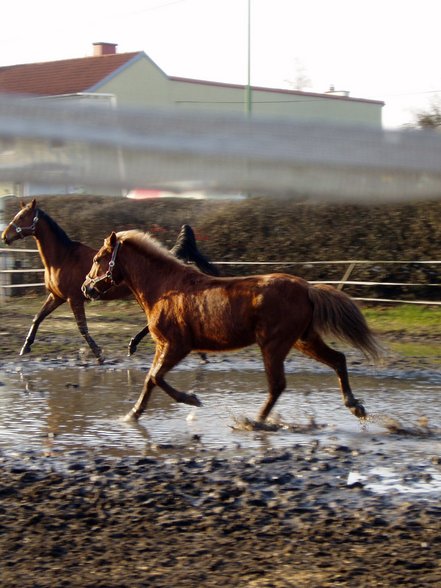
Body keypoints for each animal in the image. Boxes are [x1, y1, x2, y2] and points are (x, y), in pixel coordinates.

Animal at [1, 200, 218, 360]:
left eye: (21, 217)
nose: (4, 236)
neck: (62, 258)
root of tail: (176, 257)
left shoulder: (74, 299)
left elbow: (82, 327)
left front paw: (99, 354)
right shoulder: (56, 296)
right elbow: (38, 318)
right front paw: (25, 347)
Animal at [82, 229, 382, 422]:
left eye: (97, 259)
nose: (86, 288)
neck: (165, 289)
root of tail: (308, 288)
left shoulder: (177, 346)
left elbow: (156, 378)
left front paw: (192, 399)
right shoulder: (162, 346)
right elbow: (150, 379)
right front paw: (132, 415)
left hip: (274, 346)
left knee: (278, 385)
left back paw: (254, 421)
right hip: (303, 340)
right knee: (338, 360)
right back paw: (355, 406)